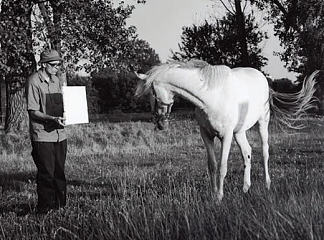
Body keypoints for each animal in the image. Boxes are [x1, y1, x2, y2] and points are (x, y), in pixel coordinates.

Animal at [135, 59, 318, 201]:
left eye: (152, 92)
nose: (160, 124)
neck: (210, 98)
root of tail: (263, 79)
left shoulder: (226, 136)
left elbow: (223, 166)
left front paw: (220, 197)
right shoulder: (206, 135)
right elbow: (212, 165)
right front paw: (213, 194)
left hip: (262, 123)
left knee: (264, 152)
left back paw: (267, 184)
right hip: (239, 132)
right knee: (247, 152)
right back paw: (246, 188)